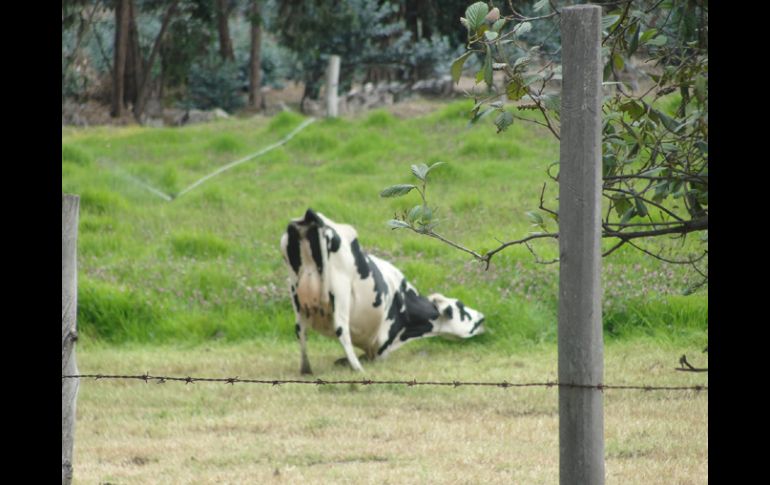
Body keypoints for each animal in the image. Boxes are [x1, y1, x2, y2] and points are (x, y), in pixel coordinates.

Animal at [280, 206, 484, 372]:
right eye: (461, 305)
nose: (482, 316)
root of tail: (311, 216)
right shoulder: (382, 344)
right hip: (340, 289)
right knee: (340, 328)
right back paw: (358, 369)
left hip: (295, 292)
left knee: (300, 330)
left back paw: (306, 370)